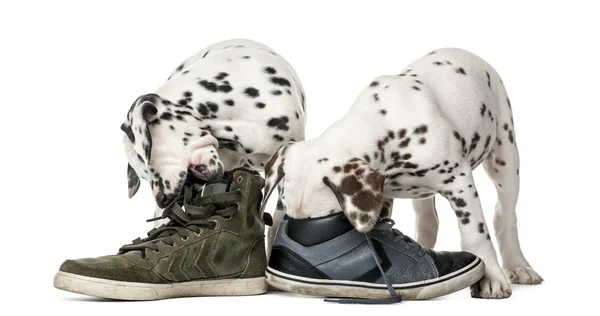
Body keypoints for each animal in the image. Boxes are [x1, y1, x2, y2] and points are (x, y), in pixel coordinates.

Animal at [260, 48, 540, 300]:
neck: (384, 125)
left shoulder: (460, 183)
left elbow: (476, 236)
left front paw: (490, 278)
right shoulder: (383, 197)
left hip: (505, 157)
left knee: (504, 216)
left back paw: (518, 266)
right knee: (428, 219)